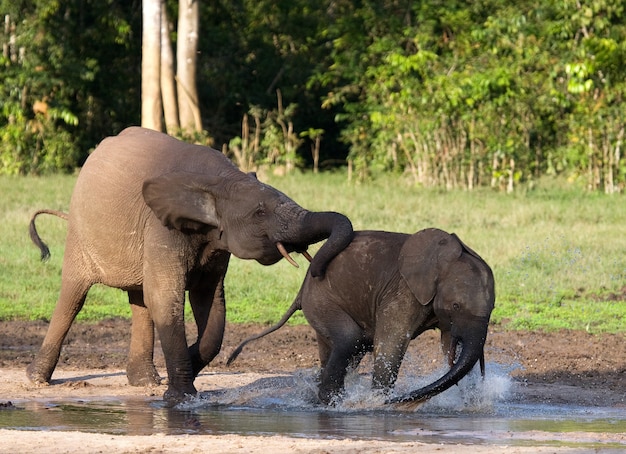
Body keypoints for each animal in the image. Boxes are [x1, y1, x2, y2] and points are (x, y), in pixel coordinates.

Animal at [28, 126, 352, 402]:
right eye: (259, 213)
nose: (317, 270)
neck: (221, 179)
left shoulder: (217, 242)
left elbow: (210, 304)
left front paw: (187, 371)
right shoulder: (162, 226)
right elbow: (166, 298)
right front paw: (180, 396)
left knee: (140, 300)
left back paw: (146, 381)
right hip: (81, 232)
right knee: (74, 295)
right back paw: (36, 379)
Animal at [227, 229, 494, 406]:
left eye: (491, 310)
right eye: (456, 305)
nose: (401, 401)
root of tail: (302, 289)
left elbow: (447, 345)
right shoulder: (403, 293)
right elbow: (392, 341)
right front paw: (376, 402)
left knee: (345, 349)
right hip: (322, 302)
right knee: (349, 340)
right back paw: (330, 402)